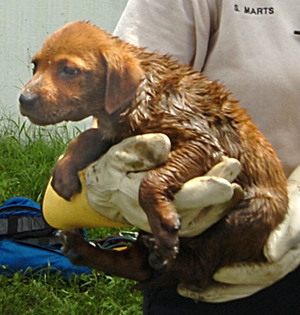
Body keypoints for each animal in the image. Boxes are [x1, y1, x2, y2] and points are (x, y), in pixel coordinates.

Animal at [19, 21, 288, 290]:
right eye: (35, 66)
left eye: (69, 70)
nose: (24, 99)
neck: (142, 94)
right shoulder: (115, 133)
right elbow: (87, 137)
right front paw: (64, 170)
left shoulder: (201, 140)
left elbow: (150, 181)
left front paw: (162, 218)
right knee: (138, 264)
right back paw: (83, 250)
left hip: (249, 214)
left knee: (199, 268)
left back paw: (162, 255)